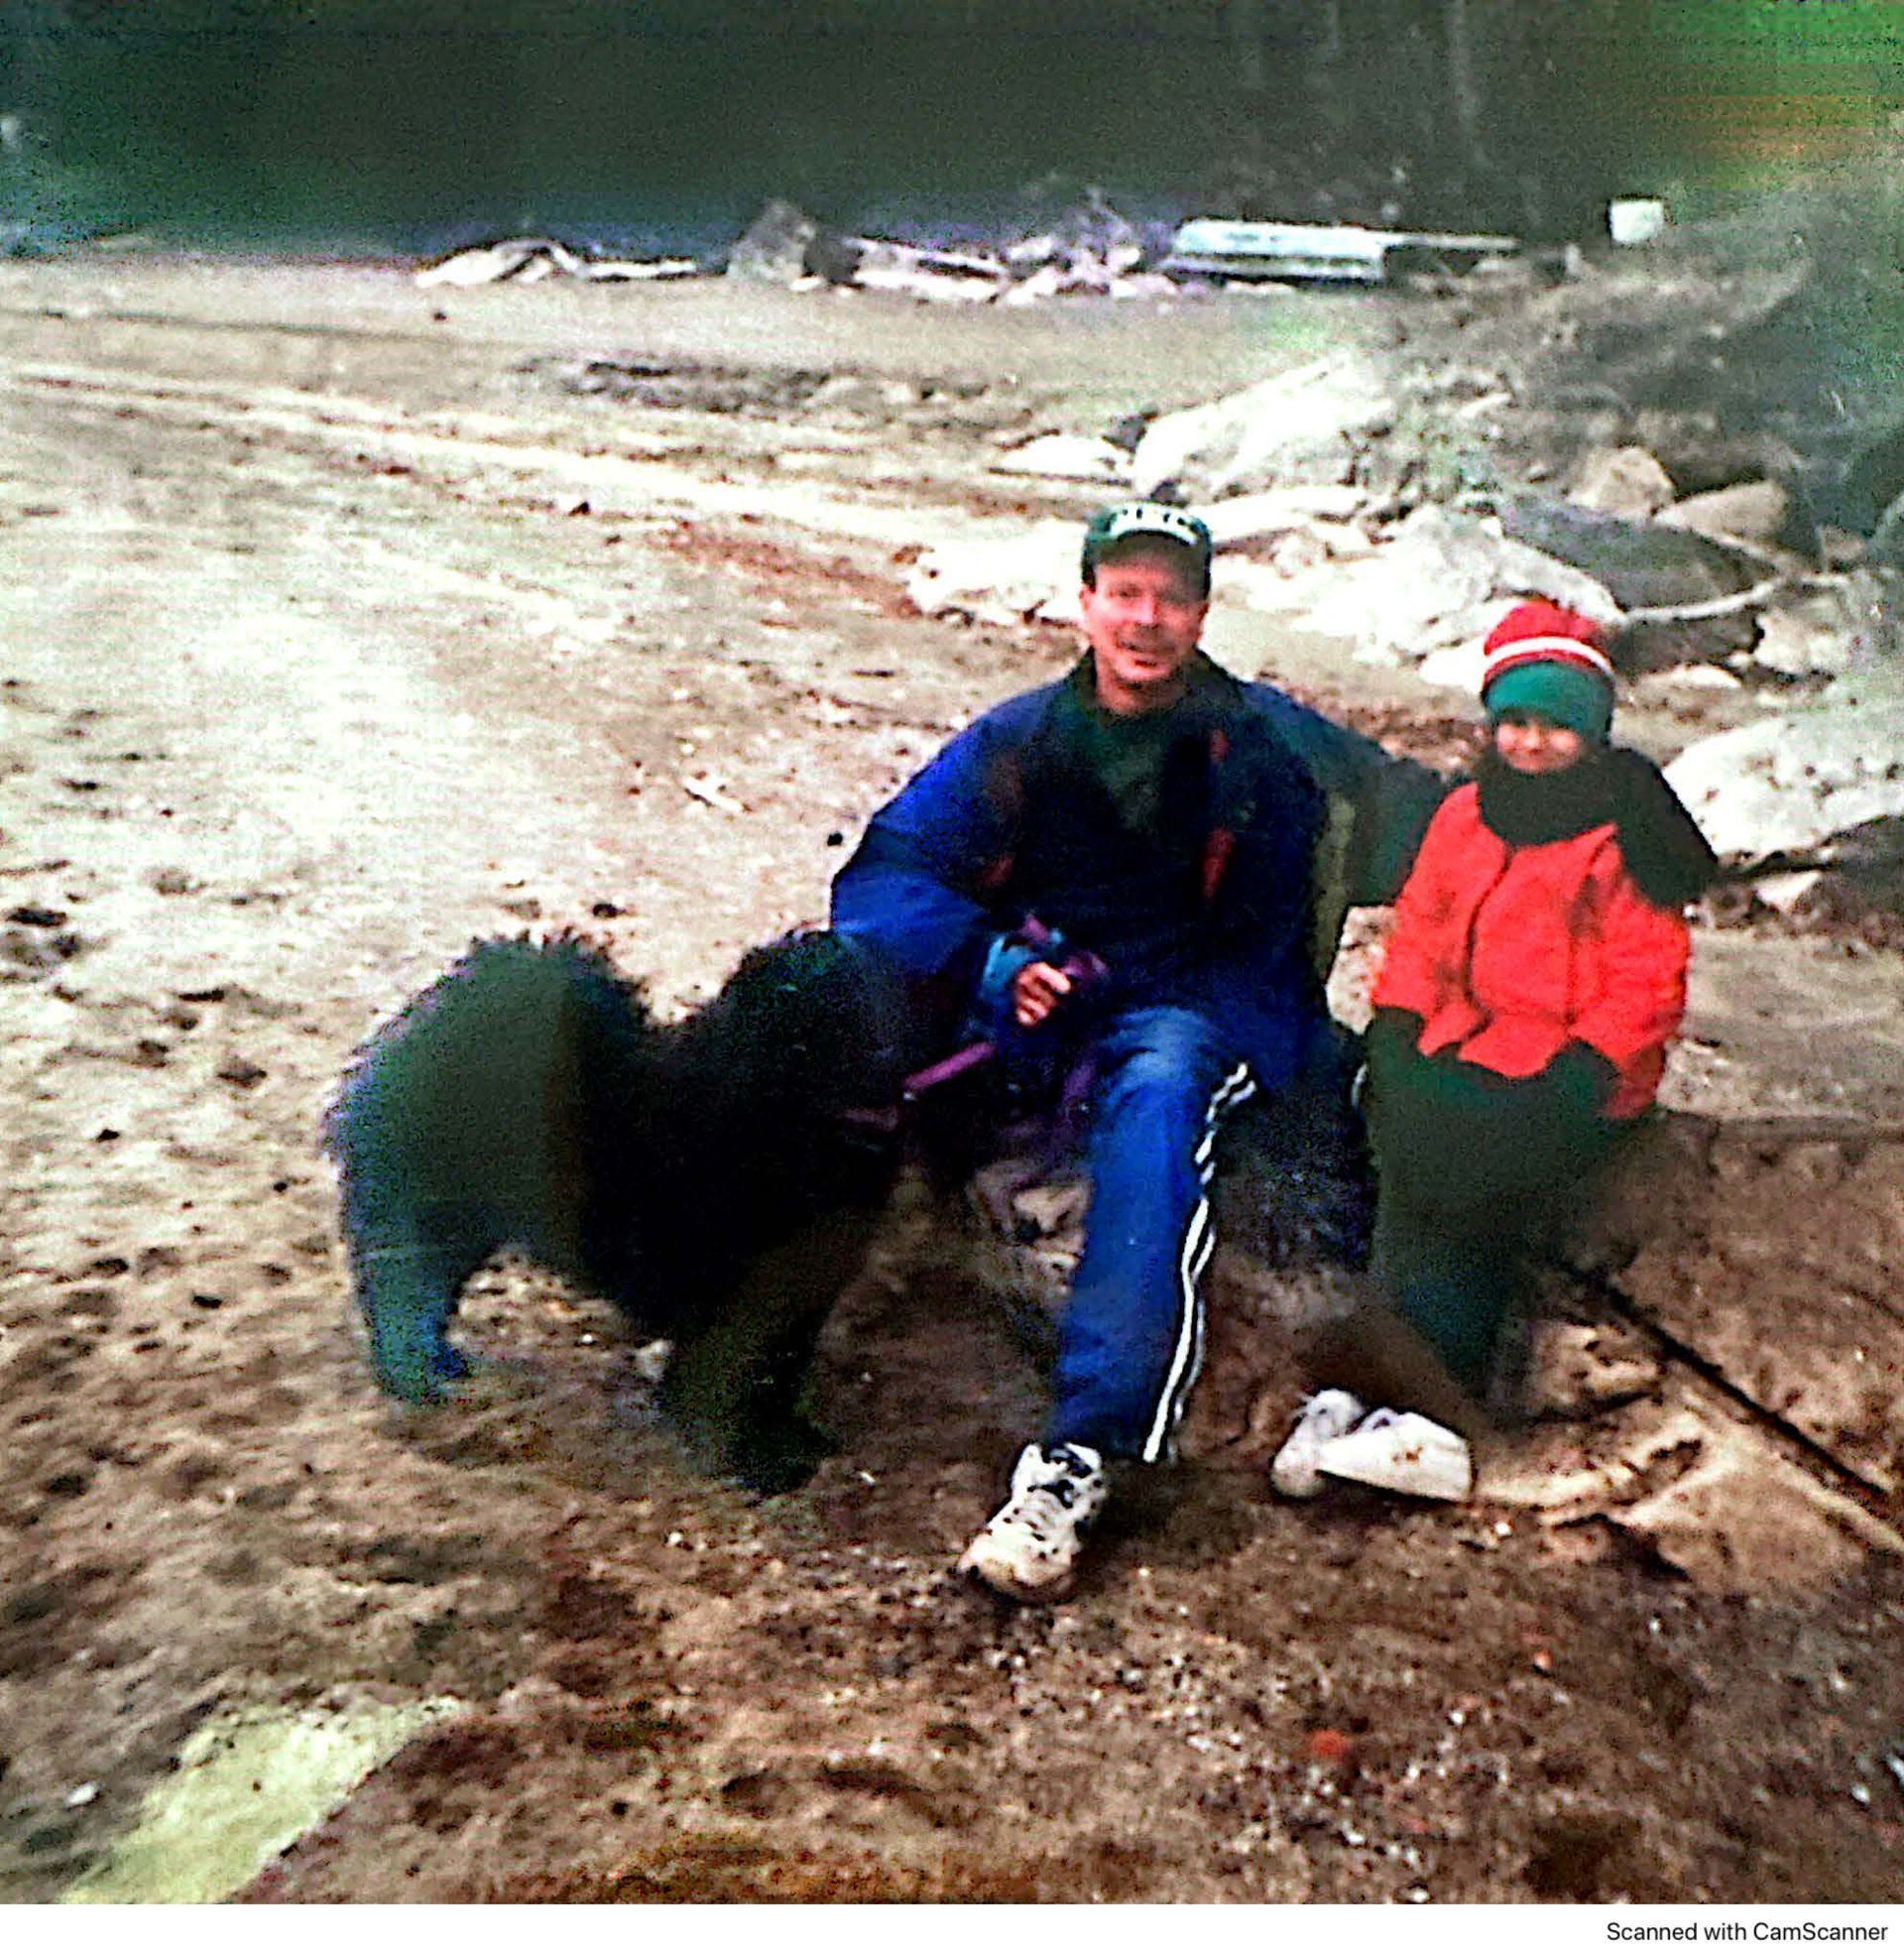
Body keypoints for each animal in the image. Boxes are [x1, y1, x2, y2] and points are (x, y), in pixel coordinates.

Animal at [323, 929, 913, 1493]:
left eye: (875, 1011)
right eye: (826, 1034)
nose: (892, 1066)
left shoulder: (793, 1298)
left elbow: (772, 1374)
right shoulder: (735, 1295)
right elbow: (731, 1381)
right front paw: (754, 1460)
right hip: (429, 1210)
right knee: (401, 1286)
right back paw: (419, 1372)